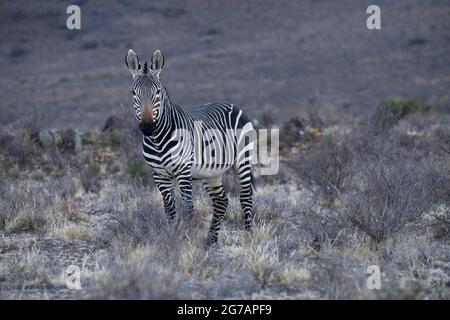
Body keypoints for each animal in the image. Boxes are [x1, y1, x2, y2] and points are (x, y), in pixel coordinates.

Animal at [125, 48, 255, 244]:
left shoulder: (183, 170)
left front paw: (186, 238)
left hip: (242, 160)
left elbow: (187, 208)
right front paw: (172, 236)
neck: (157, 140)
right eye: (134, 93)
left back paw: (248, 237)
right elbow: (169, 208)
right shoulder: (159, 174)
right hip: (212, 173)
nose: (147, 126)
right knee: (221, 201)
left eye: (158, 92)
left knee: (246, 197)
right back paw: (211, 239)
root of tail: (233, 105)